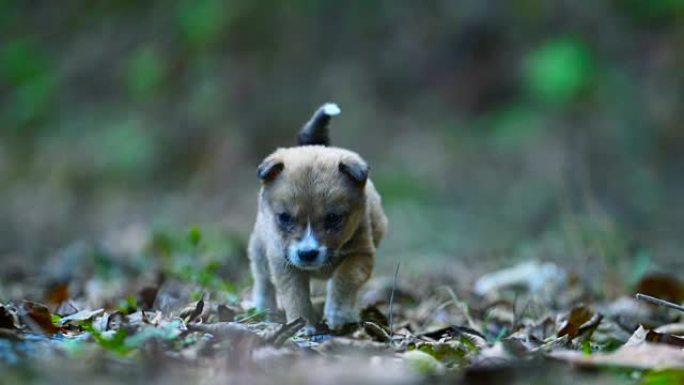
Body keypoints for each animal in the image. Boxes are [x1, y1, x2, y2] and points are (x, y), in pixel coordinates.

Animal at [247, 103, 388, 332]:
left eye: (333, 218)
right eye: (285, 217)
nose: (307, 254)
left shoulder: (362, 254)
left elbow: (344, 278)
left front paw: (337, 313)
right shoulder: (283, 262)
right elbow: (295, 296)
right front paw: (301, 325)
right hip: (259, 248)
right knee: (262, 279)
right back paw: (261, 308)